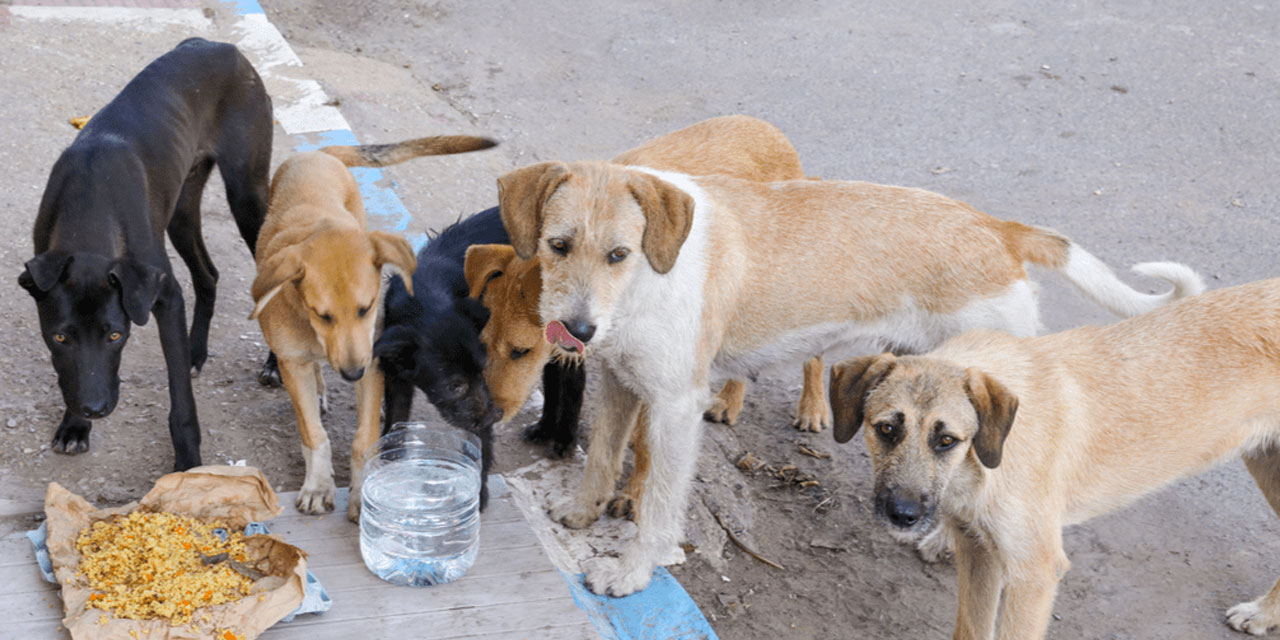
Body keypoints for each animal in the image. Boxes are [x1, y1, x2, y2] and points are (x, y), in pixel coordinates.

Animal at [18, 38, 273, 471]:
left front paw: (188, 461)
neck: (90, 203)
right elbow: (71, 374)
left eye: (116, 335)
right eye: (60, 336)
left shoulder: (165, 297)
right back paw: (195, 351)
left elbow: (180, 400)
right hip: (181, 212)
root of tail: (221, 45)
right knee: (208, 274)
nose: (95, 409)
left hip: (248, 198)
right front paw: (74, 425)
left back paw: (275, 364)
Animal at [249, 135, 494, 519]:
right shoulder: (294, 363)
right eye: (322, 315)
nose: (352, 374)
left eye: (366, 308)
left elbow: (365, 438)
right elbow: (313, 434)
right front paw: (318, 485)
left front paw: (362, 493)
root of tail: (319, 154)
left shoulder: (374, 359)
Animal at [499, 153, 1198, 593]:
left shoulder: (674, 406)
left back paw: (947, 543)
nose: (577, 332)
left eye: (619, 254)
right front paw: (581, 512)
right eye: (558, 246)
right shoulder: (621, 383)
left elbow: (656, 505)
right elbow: (600, 456)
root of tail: (998, 229)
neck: (648, 277)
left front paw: (631, 572)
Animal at [824, 279, 1280, 640]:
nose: (902, 515)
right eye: (886, 429)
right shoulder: (979, 552)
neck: (986, 459)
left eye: (947, 440)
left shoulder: (1034, 574)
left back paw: (1261, 613)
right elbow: (970, 628)